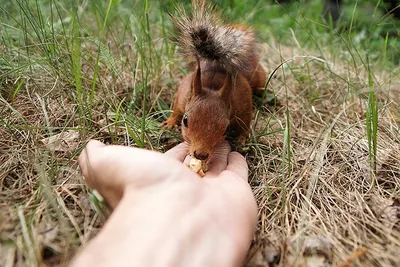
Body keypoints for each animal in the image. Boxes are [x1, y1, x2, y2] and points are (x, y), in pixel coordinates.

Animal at [161, 0, 268, 163]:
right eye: (185, 120)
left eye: (226, 128)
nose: (201, 154)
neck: (212, 86)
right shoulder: (182, 93)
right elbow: (176, 109)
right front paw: (170, 122)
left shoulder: (243, 102)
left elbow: (245, 122)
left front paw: (242, 138)